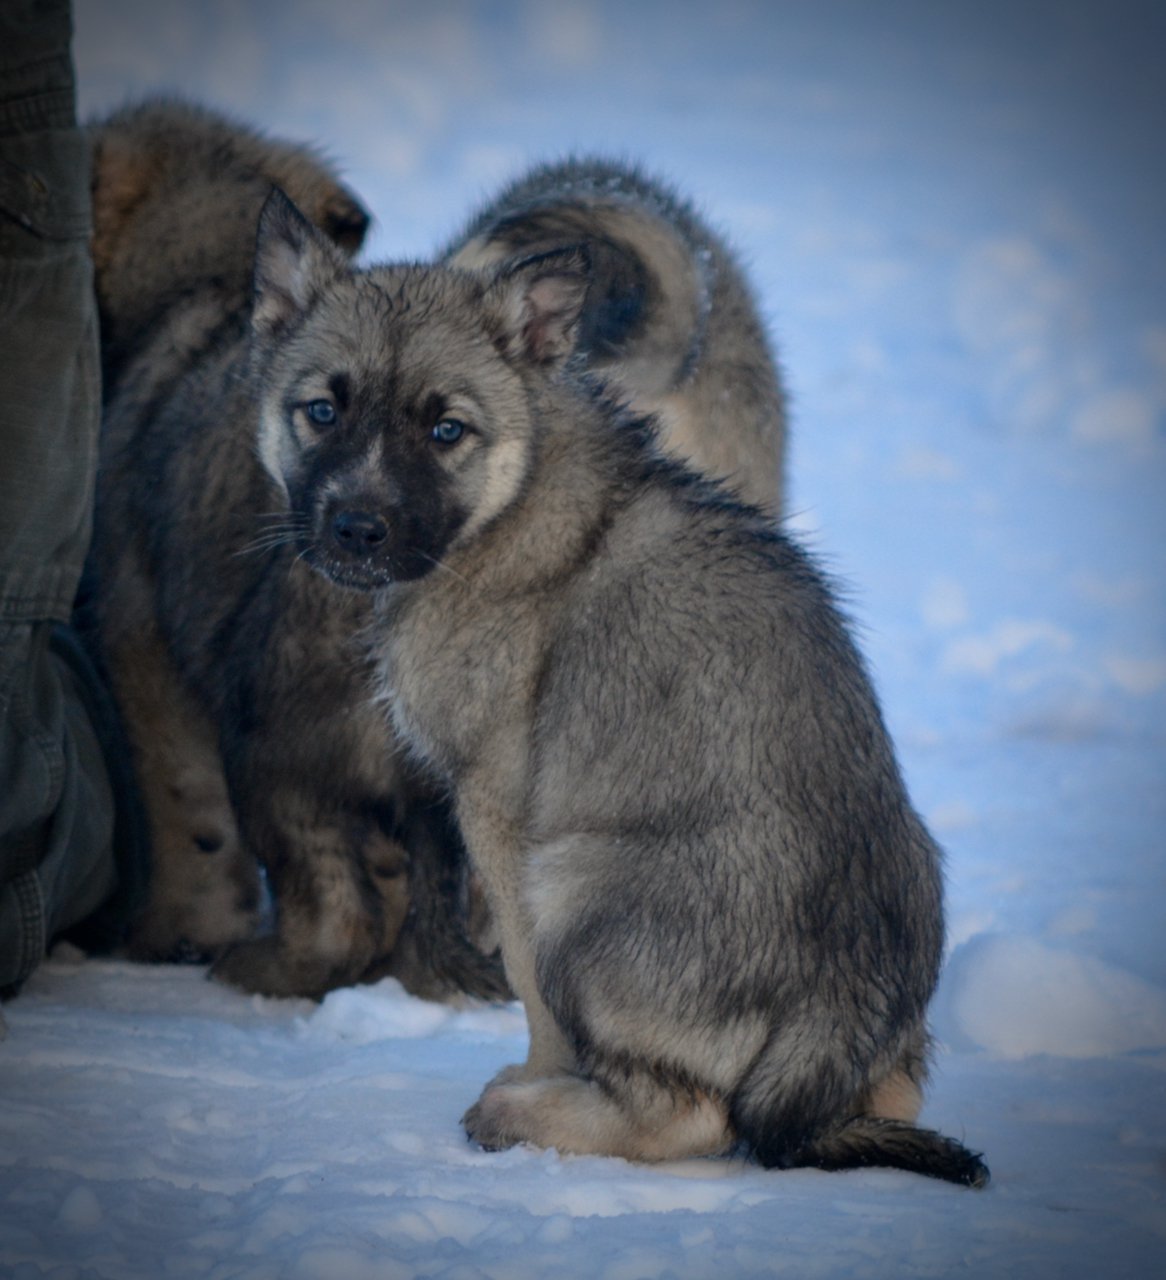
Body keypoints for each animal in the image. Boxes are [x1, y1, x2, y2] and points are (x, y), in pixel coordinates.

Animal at [250, 192, 988, 1187]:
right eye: (323, 411)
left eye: (447, 429)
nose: (356, 530)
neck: (517, 490)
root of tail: (833, 1011)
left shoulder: (498, 812)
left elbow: (530, 992)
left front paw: (535, 1078)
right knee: (882, 1099)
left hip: (574, 879)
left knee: (691, 1116)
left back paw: (522, 1114)